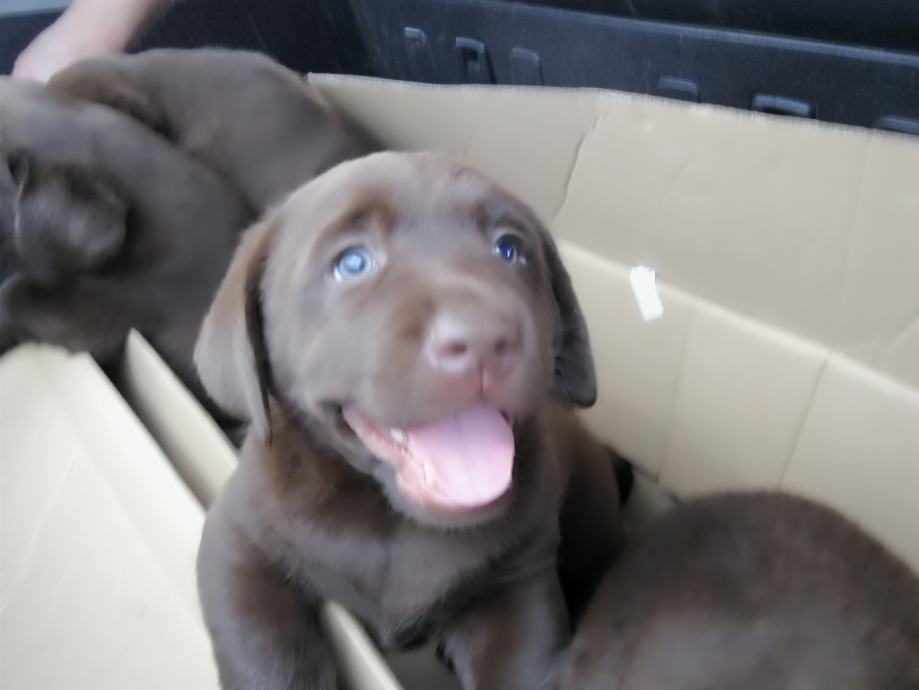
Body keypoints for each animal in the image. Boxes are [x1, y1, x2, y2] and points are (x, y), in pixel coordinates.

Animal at [194, 151, 626, 690]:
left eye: (509, 249)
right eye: (352, 263)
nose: (484, 339)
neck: (395, 522)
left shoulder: (520, 587)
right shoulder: (236, 543)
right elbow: (269, 656)